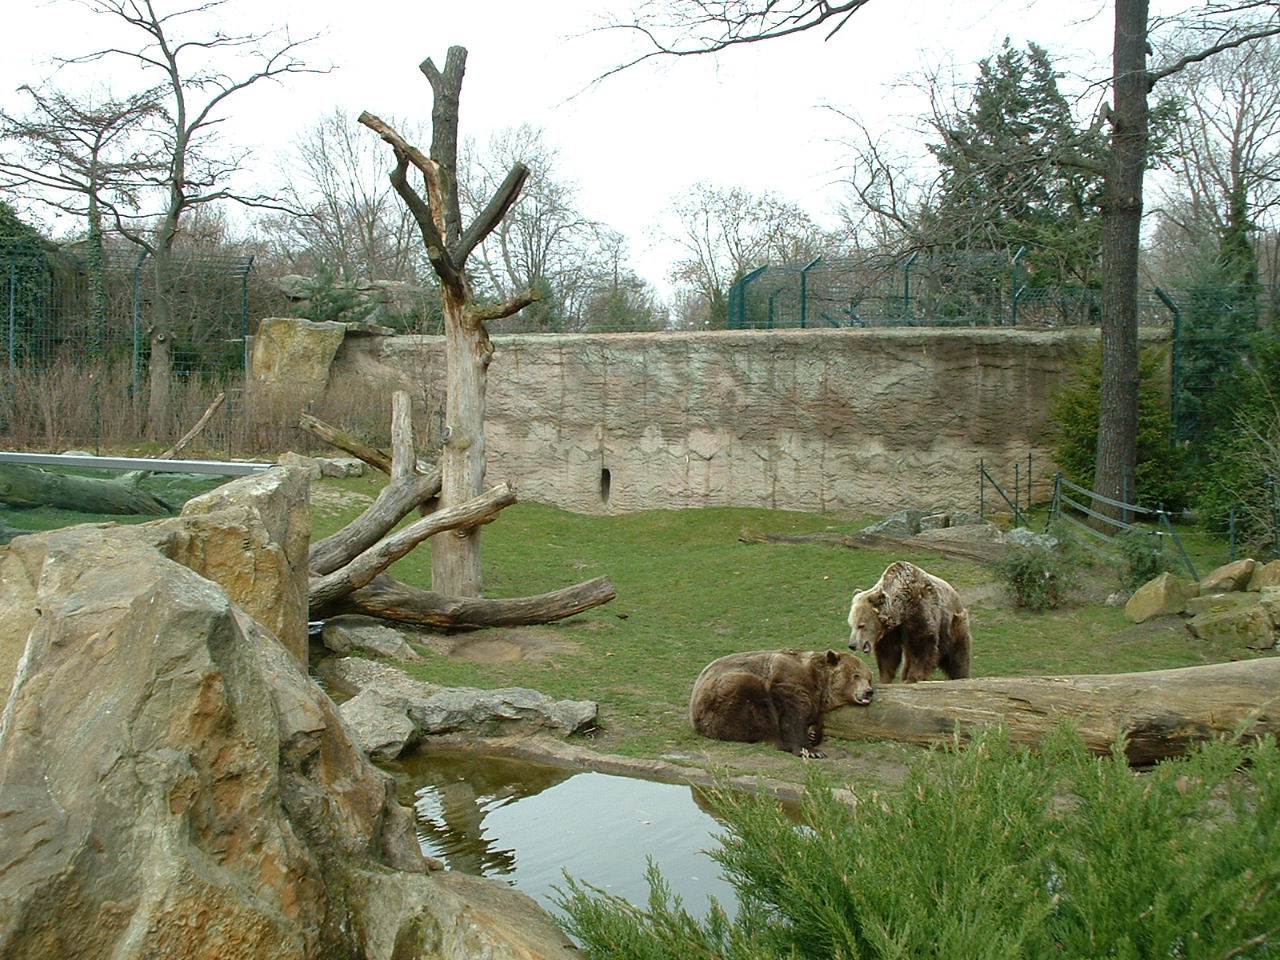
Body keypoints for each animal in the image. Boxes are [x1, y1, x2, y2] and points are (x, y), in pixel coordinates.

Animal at [689, 648, 874, 758]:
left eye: (869, 678)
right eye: (856, 675)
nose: (869, 691)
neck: (820, 685)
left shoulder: (816, 701)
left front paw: (813, 734)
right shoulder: (789, 680)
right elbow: (793, 714)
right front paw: (811, 750)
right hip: (722, 696)